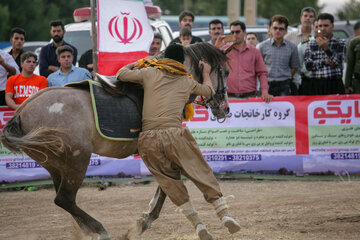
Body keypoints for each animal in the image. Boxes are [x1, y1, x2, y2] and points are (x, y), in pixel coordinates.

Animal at [0, 42, 229, 239]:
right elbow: (168, 185)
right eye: (225, 72)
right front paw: (144, 221)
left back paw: (89, 229)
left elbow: (167, 184)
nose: (225, 108)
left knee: (64, 200)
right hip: (76, 161)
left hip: (55, 164)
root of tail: (21, 112)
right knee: (64, 198)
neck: (169, 73)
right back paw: (99, 229)